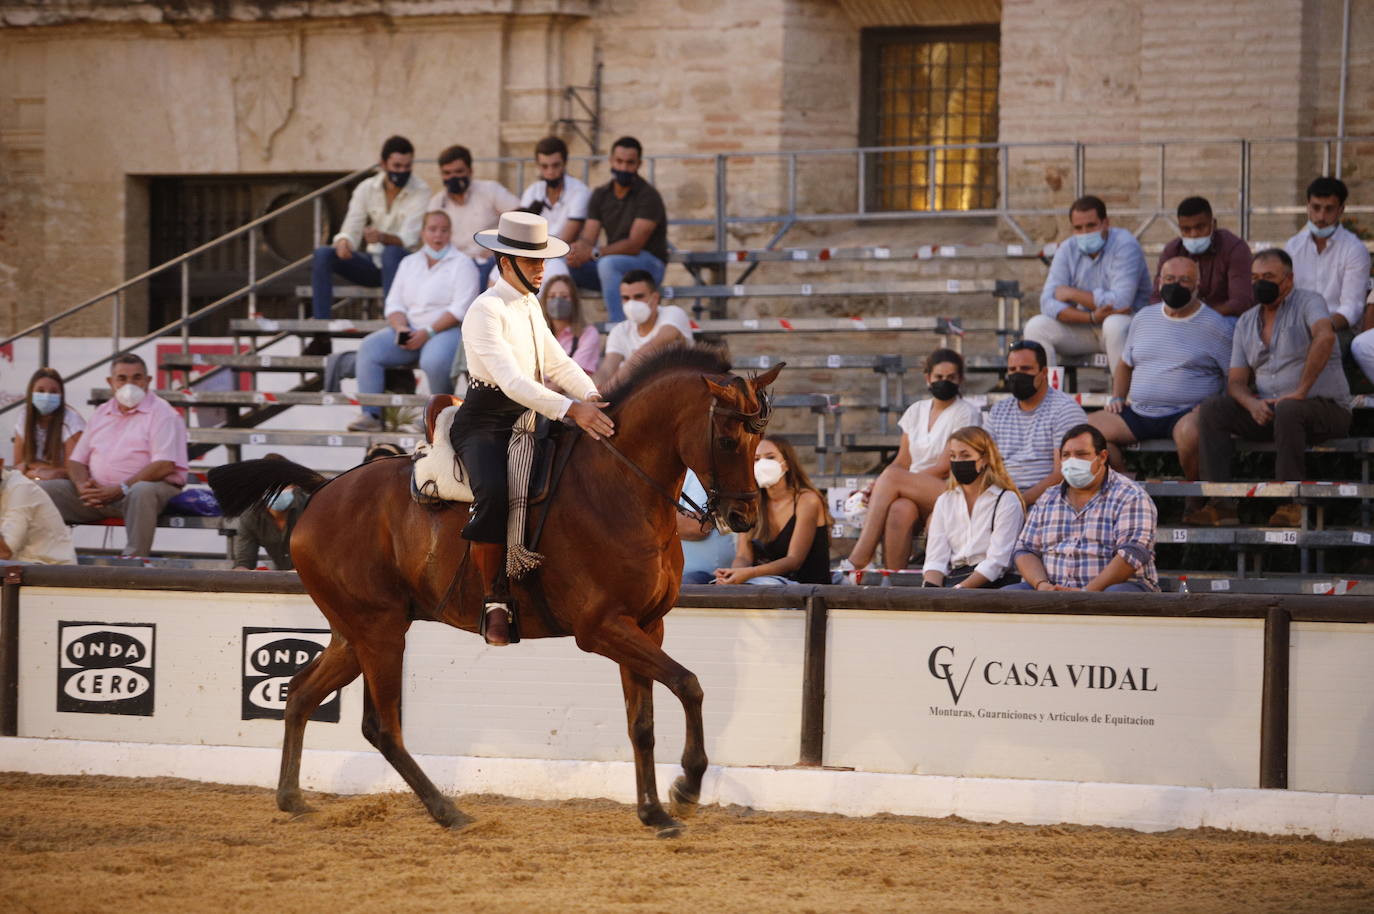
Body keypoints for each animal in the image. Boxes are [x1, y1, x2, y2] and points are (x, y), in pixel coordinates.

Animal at [208, 346, 780, 835]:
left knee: (302, 694)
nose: (743, 518)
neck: (619, 486)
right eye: (728, 441)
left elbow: (642, 722)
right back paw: (447, 811)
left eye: (761, 441)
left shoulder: (645, 626)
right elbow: (689, 684)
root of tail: (324, 488)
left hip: (355, 635)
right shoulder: (602, 628)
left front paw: (654, 812)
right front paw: (686, 787)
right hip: (379, 632)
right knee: (382, 727)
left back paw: (292, 797)